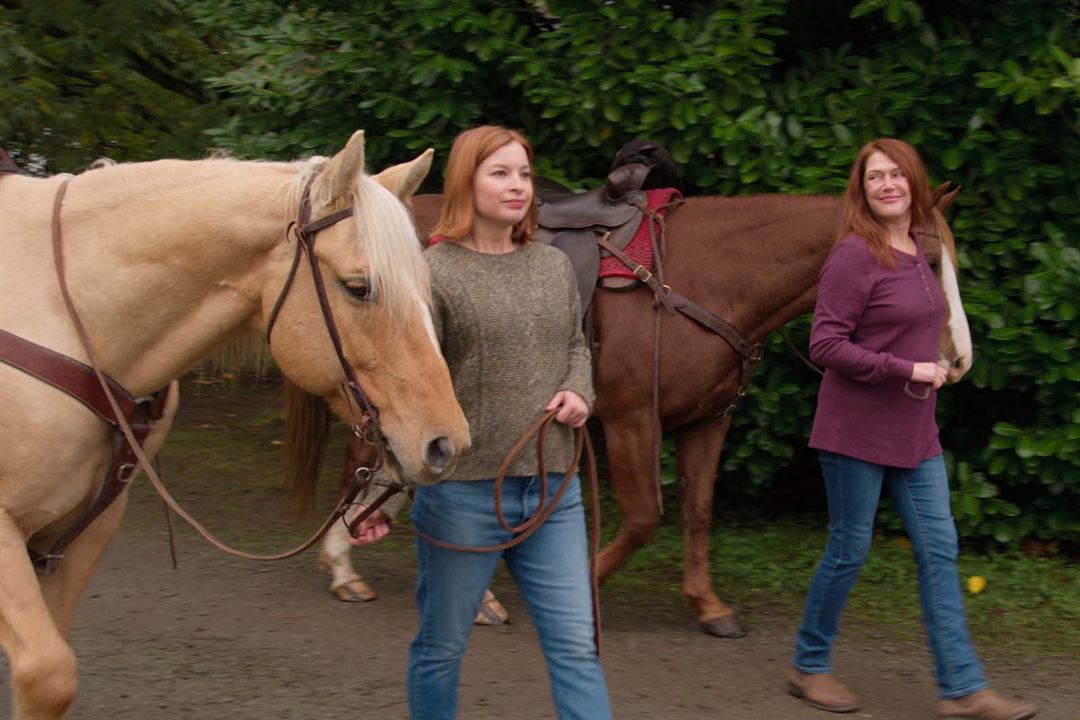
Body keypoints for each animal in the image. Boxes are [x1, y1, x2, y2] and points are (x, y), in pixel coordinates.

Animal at [313, 184, 972, 634]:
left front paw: (707, 603)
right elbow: (644, 518)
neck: (706, 278)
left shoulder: (708, 422)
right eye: (925, 261)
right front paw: (582, 586)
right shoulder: (633, 421)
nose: (959, 359)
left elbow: (698, 511)